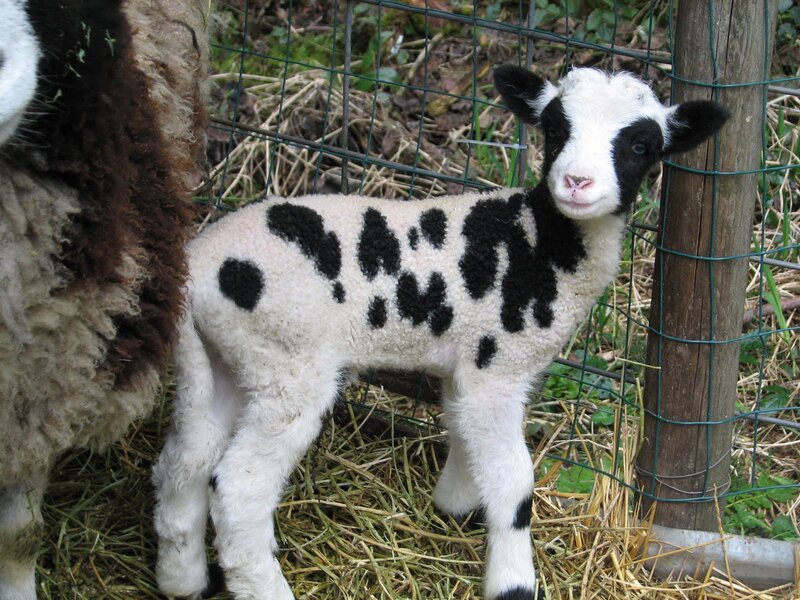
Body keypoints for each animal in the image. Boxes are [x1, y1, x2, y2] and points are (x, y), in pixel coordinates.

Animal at [153, 63, 729, 600]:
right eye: (554, 128)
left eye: (641, 145)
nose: (577, 182)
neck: (540, 243)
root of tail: (198, 267)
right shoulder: (498, 368)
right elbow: (514, 482)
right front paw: (512, 581)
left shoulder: (466, 363)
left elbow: (460, 428)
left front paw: (455, 505)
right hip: (289, 363)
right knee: (238, 488)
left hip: (223, 360)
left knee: (185, 460)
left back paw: (184, 580)